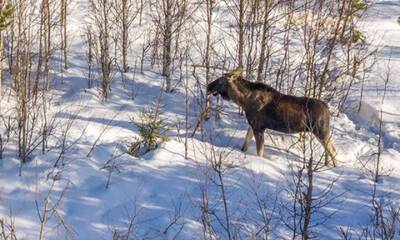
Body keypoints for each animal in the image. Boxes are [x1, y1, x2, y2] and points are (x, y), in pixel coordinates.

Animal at [208, 66, 336, 166]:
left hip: (321, 131)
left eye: (220, 80)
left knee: (333, 151)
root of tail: (327, 108)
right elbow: (245, 143)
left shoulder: (259, 127)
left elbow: (259, 152)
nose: (208, 86)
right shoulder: (253, 125)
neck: (242, 100)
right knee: (328, 151)